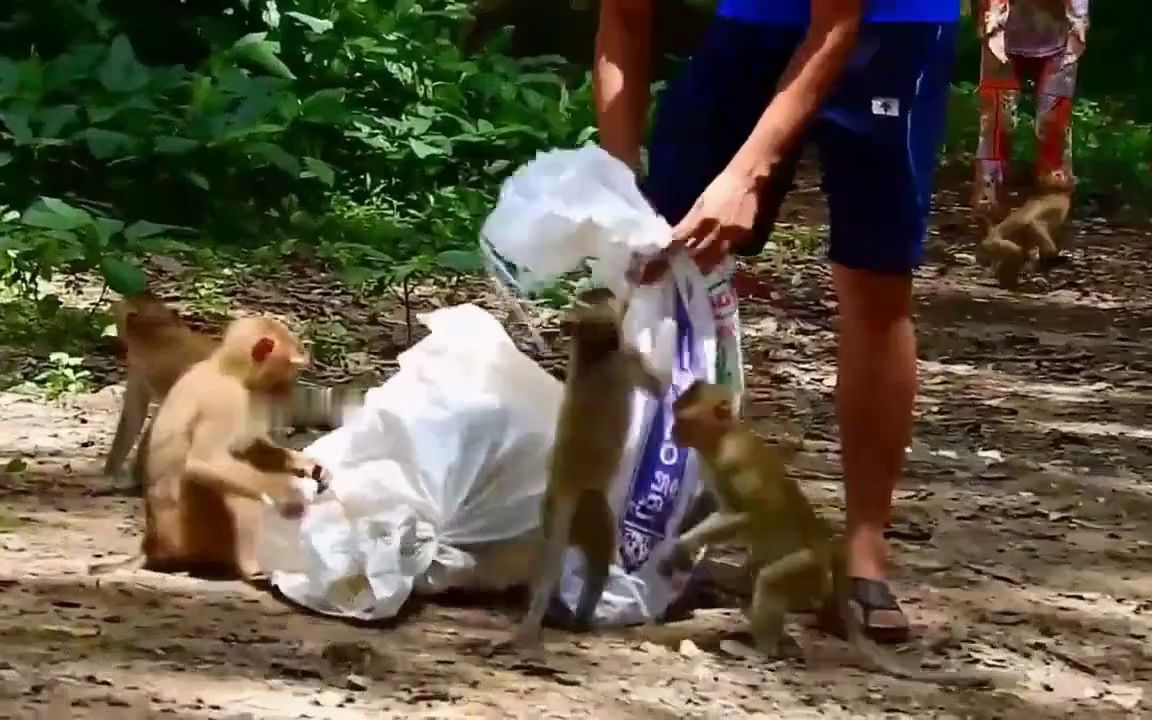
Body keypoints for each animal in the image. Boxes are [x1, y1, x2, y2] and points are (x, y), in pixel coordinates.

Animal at [90, 317, 329, 580]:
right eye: (291, 368)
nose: (288, 390)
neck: (225, 369)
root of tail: (151, 544)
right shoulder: (226, 400)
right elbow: (206, 461)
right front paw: (286, 492)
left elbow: (248, 447)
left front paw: (308, 466)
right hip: (190, 534)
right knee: (223, 488)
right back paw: (253, 568)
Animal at [511, 284, 668, 645]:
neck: (594, 348)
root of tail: (565, 491)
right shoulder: (628, 358)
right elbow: (659, 386)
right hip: (592, 510)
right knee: (600, 556)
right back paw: (583, 617)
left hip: (554, 514)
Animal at [663, 375, 1004, 686]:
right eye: (675, 414)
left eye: (683, 419)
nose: (672, 432)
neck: (722, 439)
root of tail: (828, 551)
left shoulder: (735, 466)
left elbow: (747, 515)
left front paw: (685, 543)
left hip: (809, 569)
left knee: (772, 580)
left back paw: (761, 651)